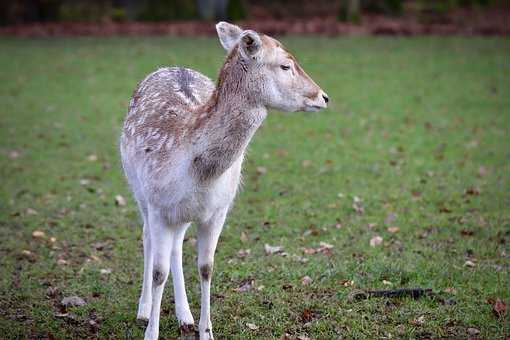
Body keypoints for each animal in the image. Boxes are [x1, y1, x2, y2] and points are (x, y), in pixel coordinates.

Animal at [119, 21, 328, 340]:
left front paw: (206, 331)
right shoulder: (158, 205)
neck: (202, 172)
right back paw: (143, 310)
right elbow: (158, 272)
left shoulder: (217, 210)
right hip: (138, 190)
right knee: (147, 238)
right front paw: (151, 333)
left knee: (177, 246)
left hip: (183, 213)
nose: (323, 97)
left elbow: (206, 267)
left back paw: (185, 315)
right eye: (285, 65)